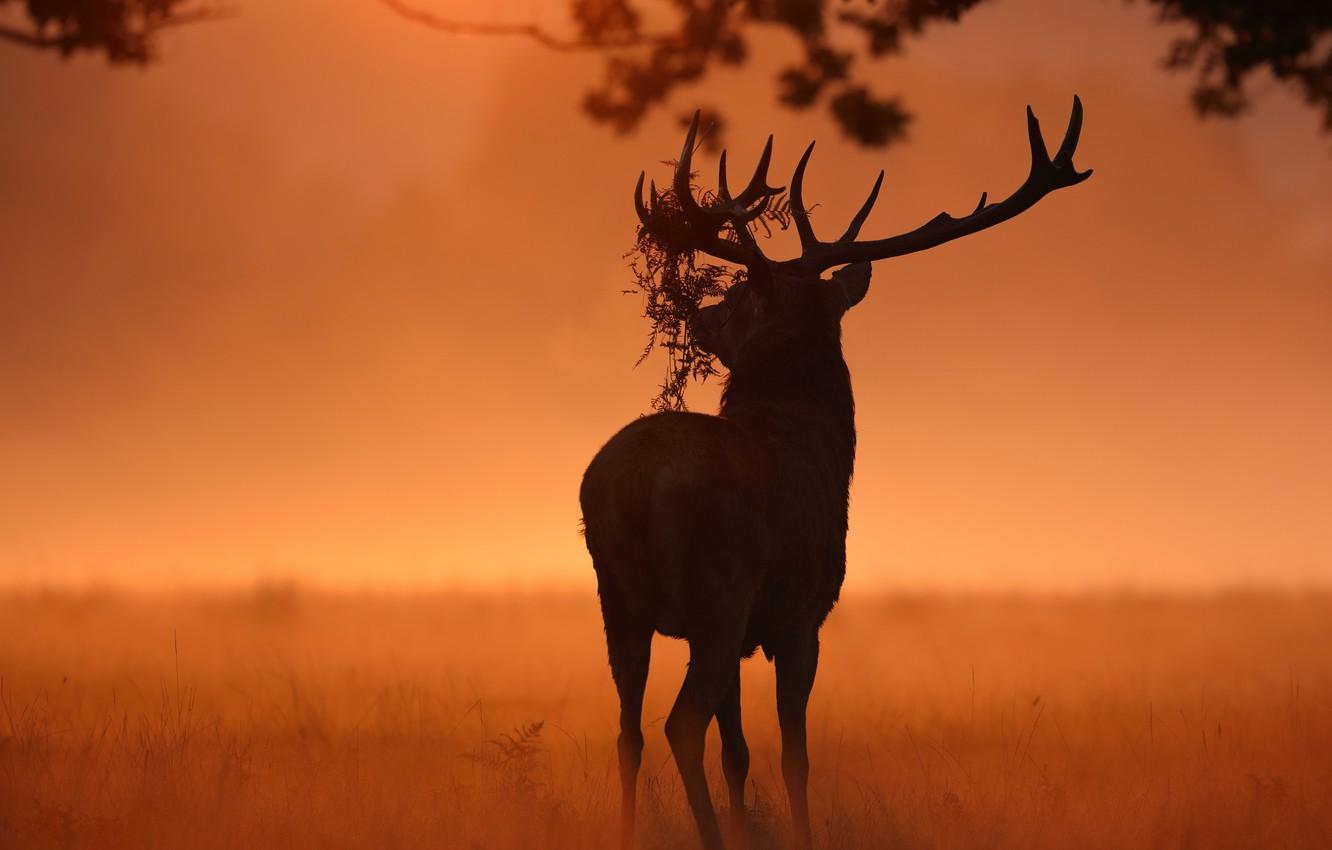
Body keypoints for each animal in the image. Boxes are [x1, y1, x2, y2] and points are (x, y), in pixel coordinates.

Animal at [580, 97, 1091, 850]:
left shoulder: (750, 629)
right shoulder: (802, 614)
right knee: (679, 724)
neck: (818, 445)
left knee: (628, 733)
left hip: (616, 601)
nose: (699, 314)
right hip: (717, 589)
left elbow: (740, 754)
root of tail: (632, 488)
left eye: (736, 299)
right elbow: (795, 756)